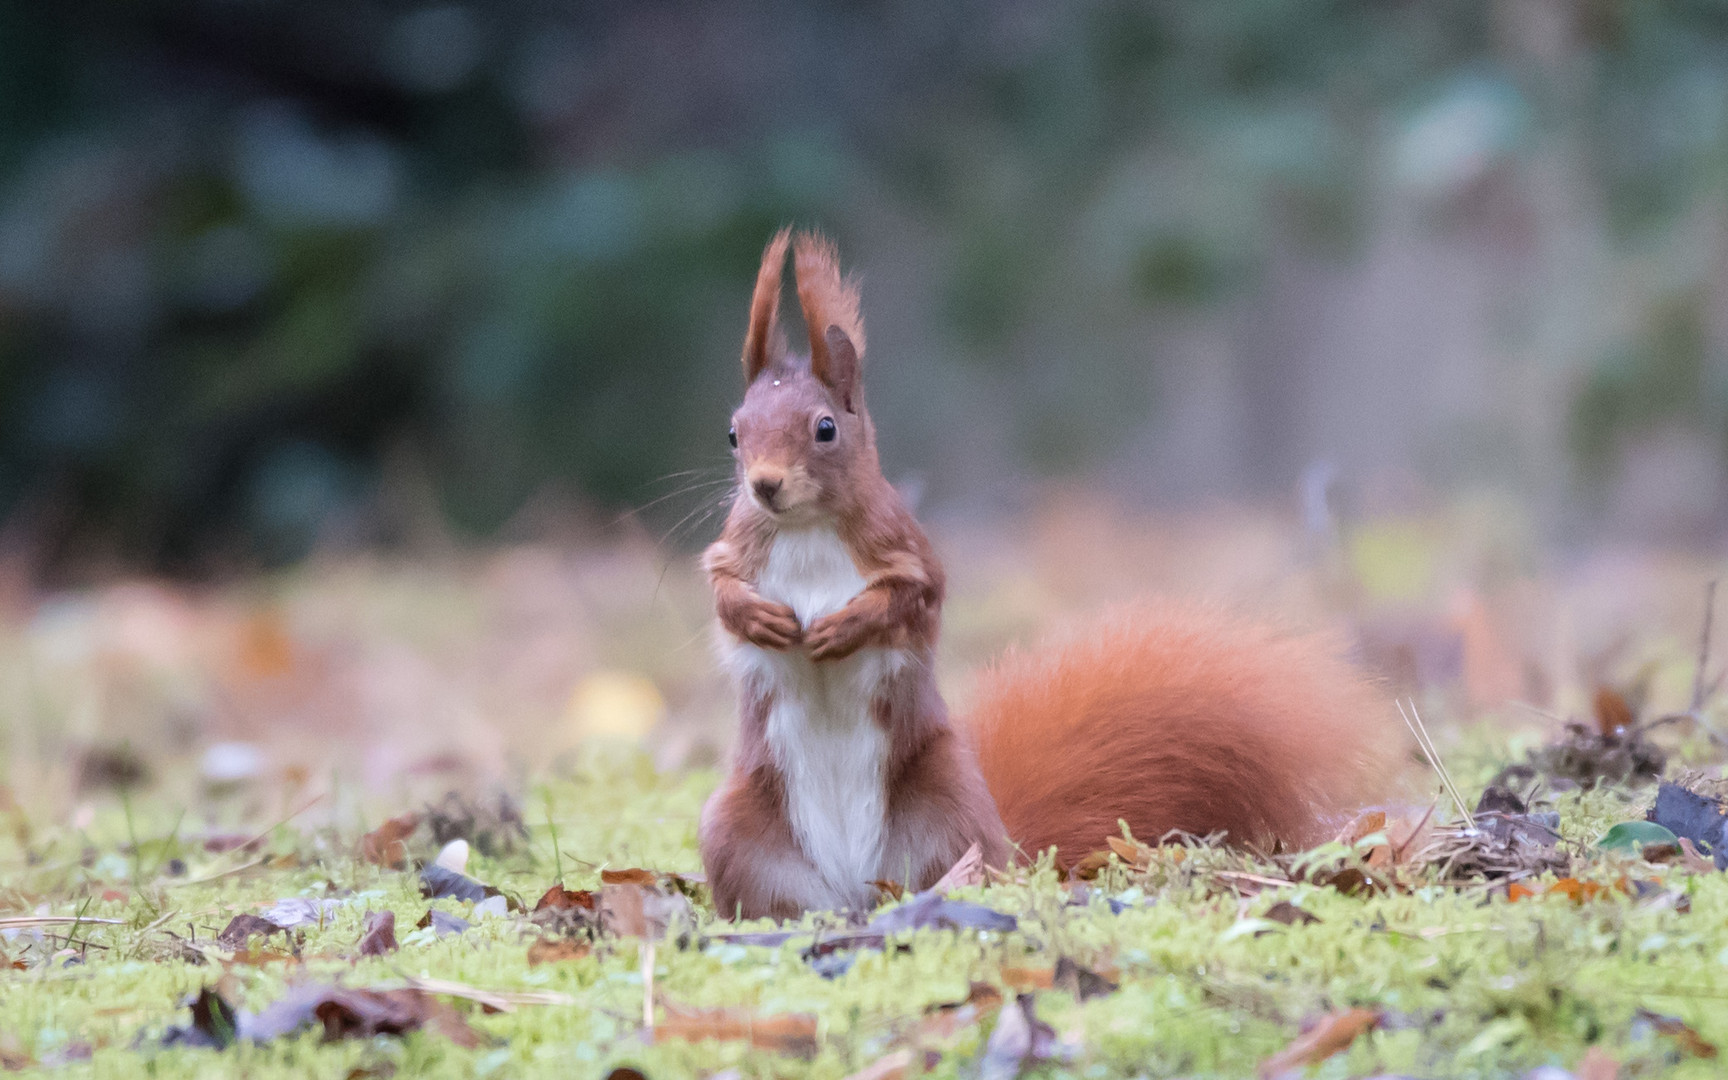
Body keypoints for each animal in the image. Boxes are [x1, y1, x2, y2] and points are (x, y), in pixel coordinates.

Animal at [694, 228, 1396, 919]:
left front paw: (842, 627)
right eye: (732, 434)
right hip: (735, 830)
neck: (805, 528)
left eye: (825, 429)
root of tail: (858, 886)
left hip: (950, 807)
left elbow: (909, 599)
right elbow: (722, 592)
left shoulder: (907, 550)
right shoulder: (735, 548)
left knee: (959, 869)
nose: (764, 485)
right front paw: (760, 618)